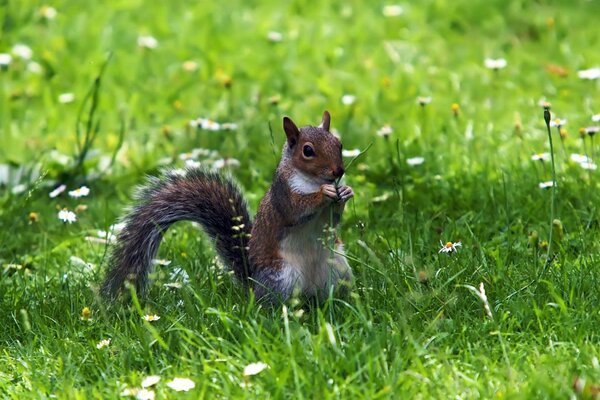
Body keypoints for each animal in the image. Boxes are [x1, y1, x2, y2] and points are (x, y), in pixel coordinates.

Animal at [102, 110, 354, 304]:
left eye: (339, 144)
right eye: (308, 151)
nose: (338, 171)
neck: (312, 181)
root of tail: (253, 284)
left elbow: (333, 220)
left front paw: (345, 192)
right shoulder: (282, 194)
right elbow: (296, 210)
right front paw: (324, 193)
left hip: (338, 268)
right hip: (281, 277)